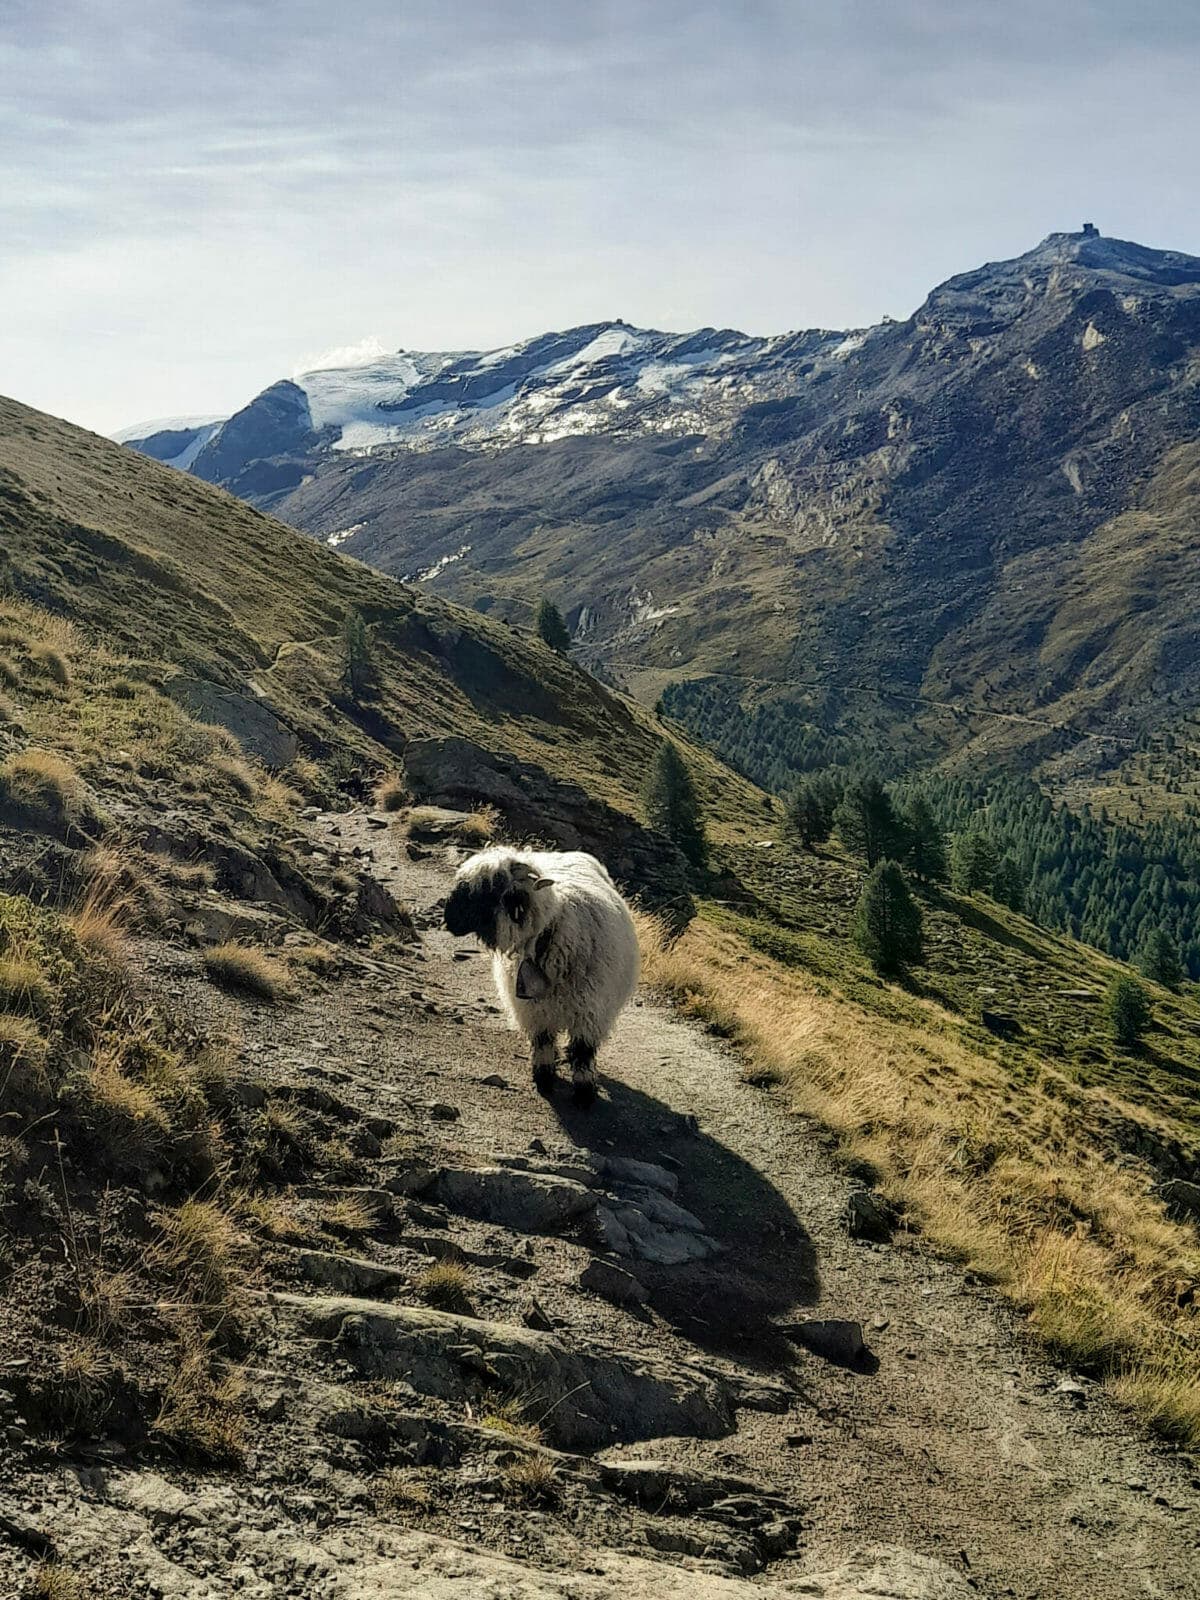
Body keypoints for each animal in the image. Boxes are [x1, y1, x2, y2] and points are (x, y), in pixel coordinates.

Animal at [443, 846, 640, 1104]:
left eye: (489, 888)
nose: (448, 919)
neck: (549, 934)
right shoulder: (533, 1009)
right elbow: (542, 1042)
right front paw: (544, 1078)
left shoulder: (591, 1009)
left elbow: (583, 1051)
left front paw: (584, 1092)